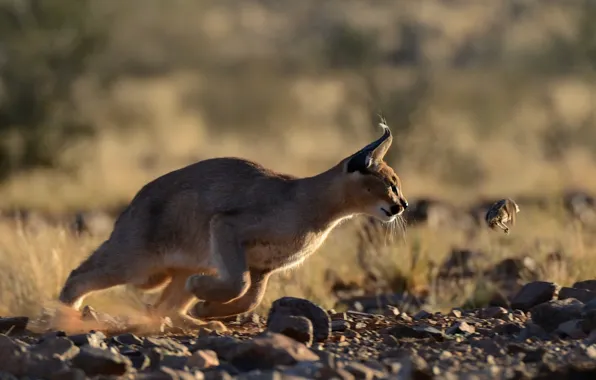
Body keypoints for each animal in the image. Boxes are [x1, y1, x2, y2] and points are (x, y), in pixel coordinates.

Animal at [58, 121, 408, 326]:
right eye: (391, 184)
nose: (403, 204)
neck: (321, 208)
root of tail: (135, 200)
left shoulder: (263, 267)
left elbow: (250, 297)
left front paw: (206, 308)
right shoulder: (226, 225)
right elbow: (238, 283)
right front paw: (202, 295)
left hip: (184, 262)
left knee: (164, 307)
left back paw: (200, 322)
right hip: (137, 261)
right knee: (79, 276)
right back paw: (65, 315)